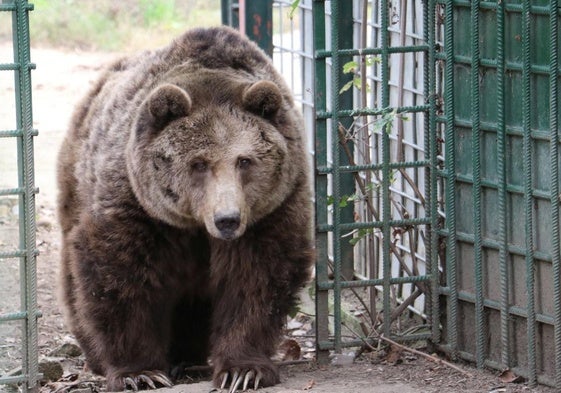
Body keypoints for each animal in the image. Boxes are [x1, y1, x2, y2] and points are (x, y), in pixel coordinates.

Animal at [58, 26, 312, 390]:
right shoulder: (137, 208)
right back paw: (98, 356)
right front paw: (139, 372)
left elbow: (256, 279)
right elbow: (119, 276)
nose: (227, 219)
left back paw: (188, 359)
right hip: (77, 181)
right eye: (199, 163)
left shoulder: (270, 210)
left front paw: (243, 369)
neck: (194, 224)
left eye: (244, 161)